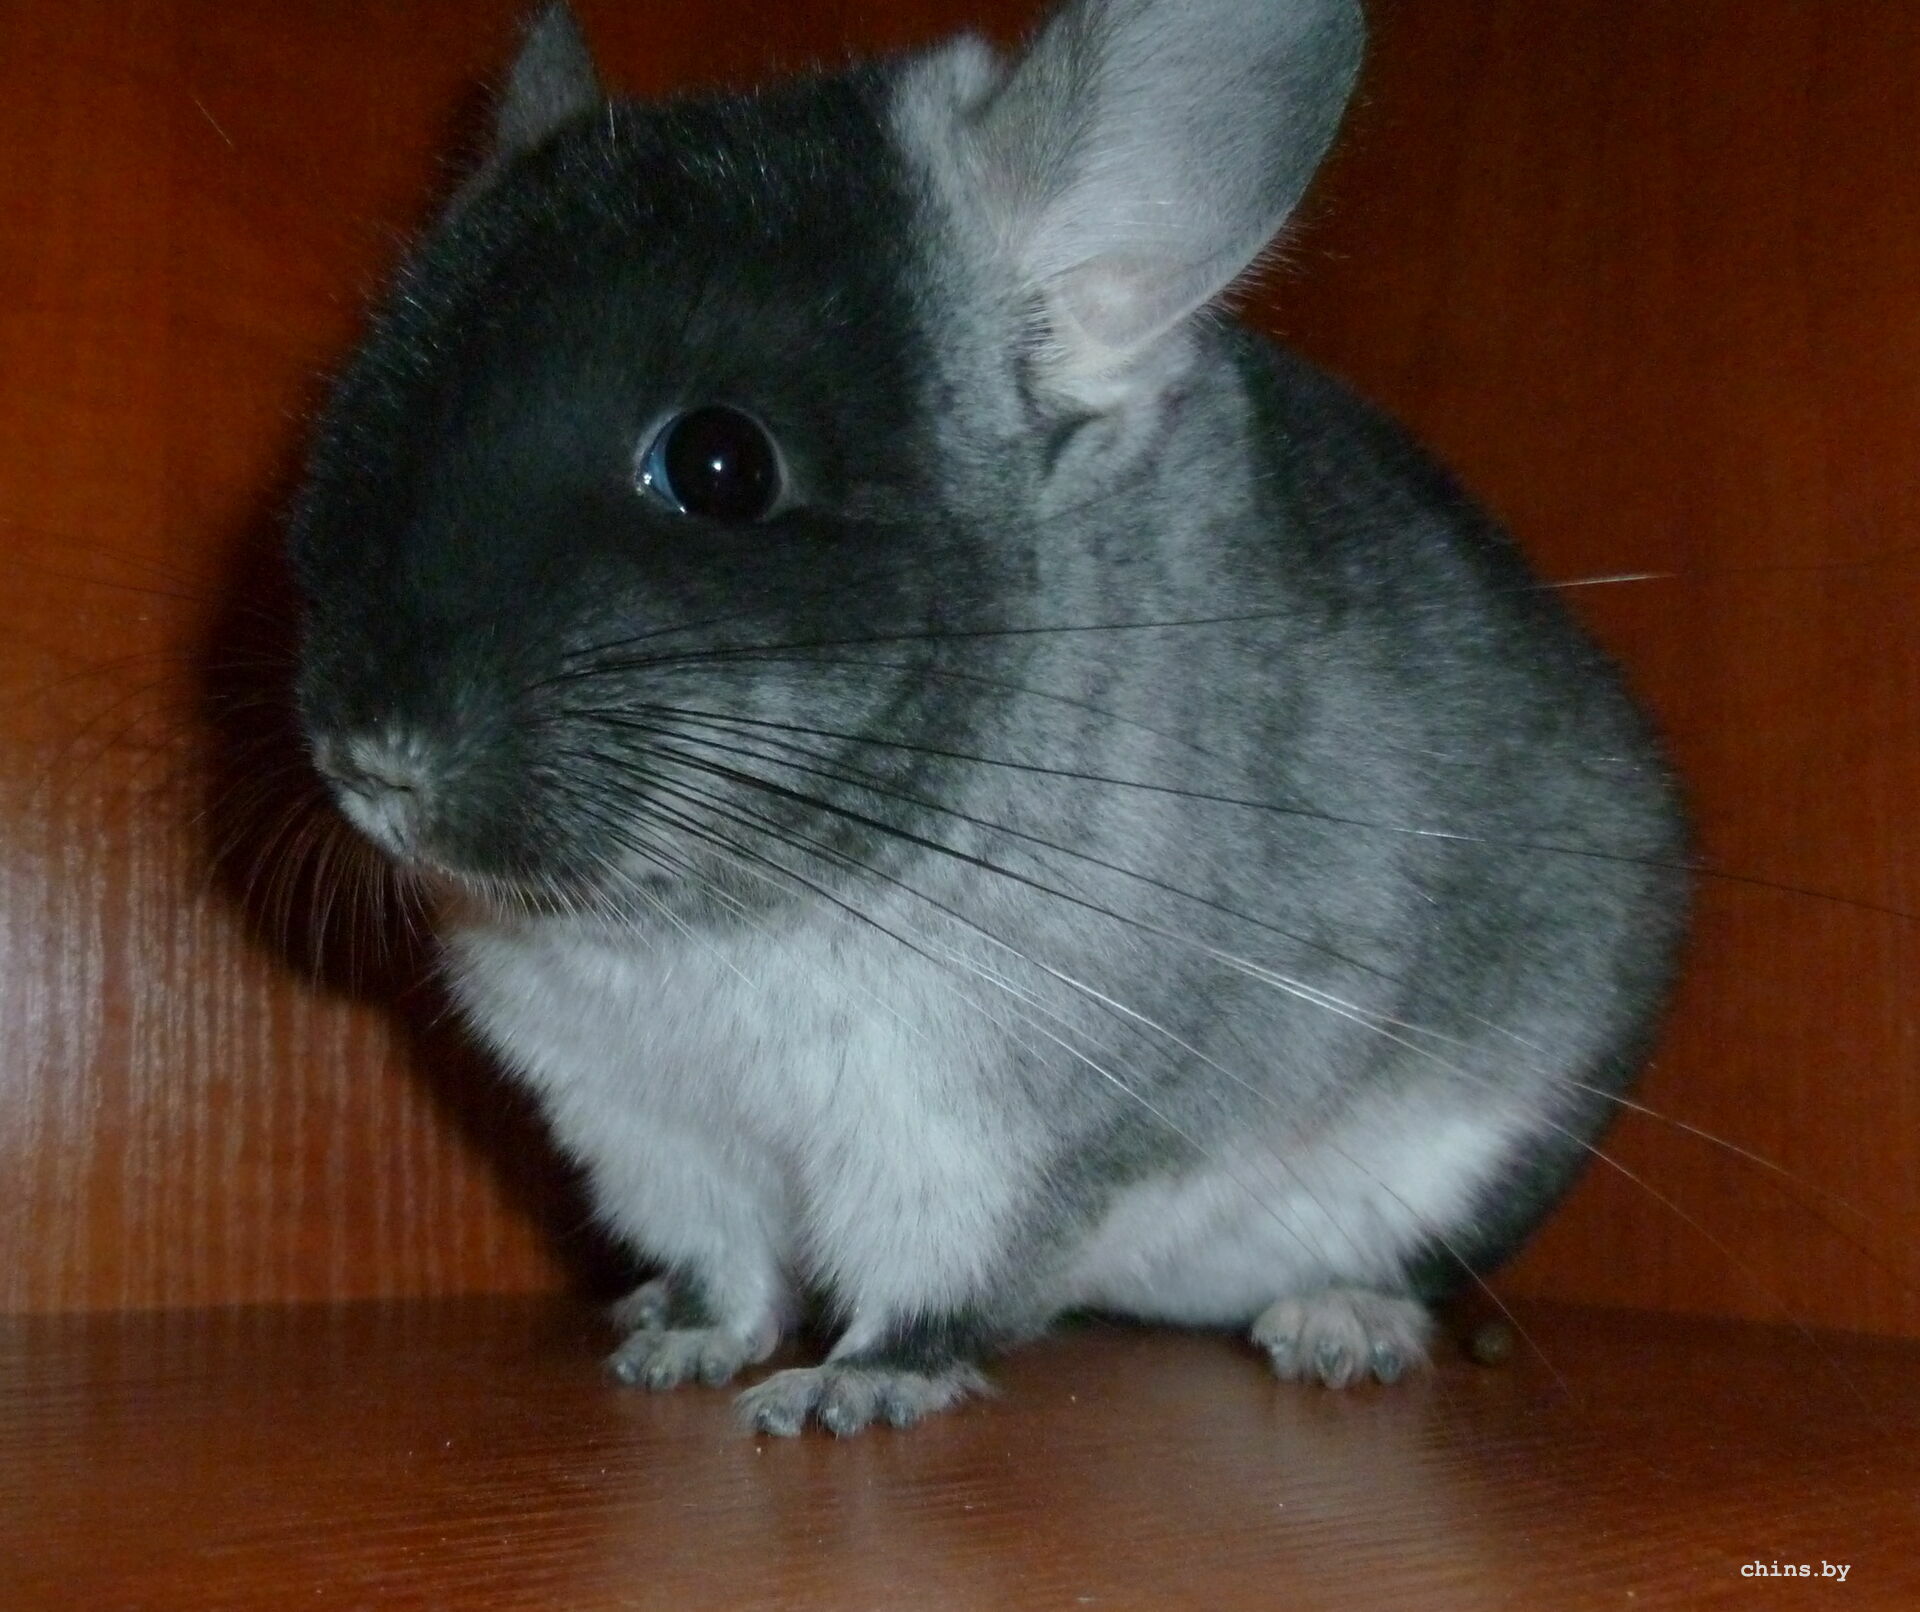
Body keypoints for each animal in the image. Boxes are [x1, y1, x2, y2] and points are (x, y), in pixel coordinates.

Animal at [288, 0, 1690, 1437]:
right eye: (359, 413)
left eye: (720, 465)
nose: (368, 760)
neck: (706, 917)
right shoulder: (648, 1130)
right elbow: (727, 1271)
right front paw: (677, 1347)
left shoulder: (983, 1134)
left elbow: (932, 1283)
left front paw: (841, 1395)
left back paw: (1337, 1326)